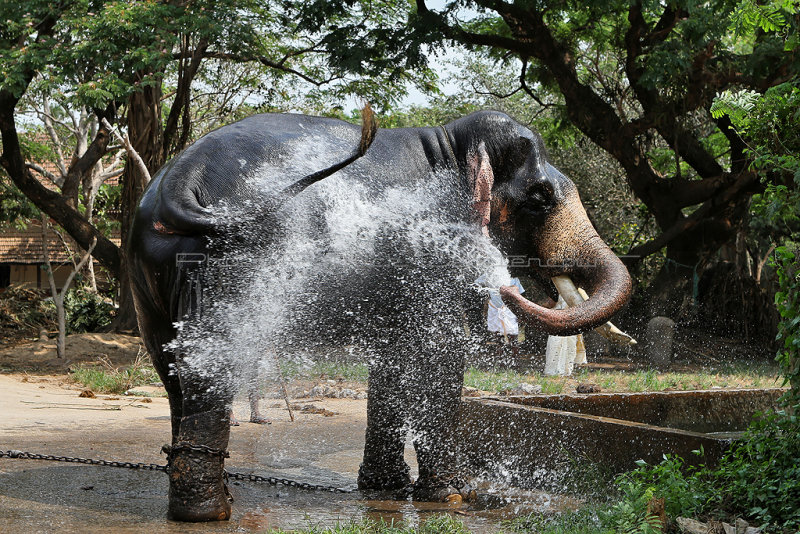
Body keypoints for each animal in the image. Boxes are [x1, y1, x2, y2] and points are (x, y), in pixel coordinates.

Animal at [130, 110, 632, 524]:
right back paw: (209, 514)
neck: (453, 142)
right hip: (234, 262)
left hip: (153, 273)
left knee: (172, 364)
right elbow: (437, 353)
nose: (510, 287)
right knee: (210, 360)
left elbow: (392, 354)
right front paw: (455, 496)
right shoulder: (431, 247)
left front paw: (386, 489)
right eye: (540, 198)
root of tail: (180, 177)